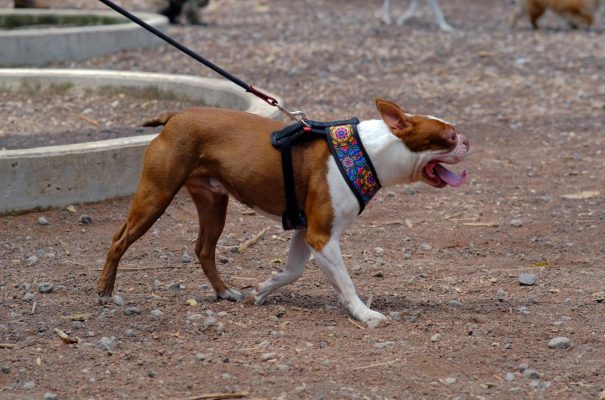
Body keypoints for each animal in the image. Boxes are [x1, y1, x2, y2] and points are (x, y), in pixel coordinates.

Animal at [96, 98, 470, 326]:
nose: (467, 140)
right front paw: (364, 313)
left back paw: (225, 292)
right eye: (449, 137)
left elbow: (293, 271)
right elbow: (345, 282)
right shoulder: (321, 236)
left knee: (203, 249)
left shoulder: (306, 232)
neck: (368, 152)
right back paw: (104, 292)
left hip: (213, 202)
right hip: (156, 195)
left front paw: (263, 289)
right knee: (118, 239)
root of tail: (174, 117)